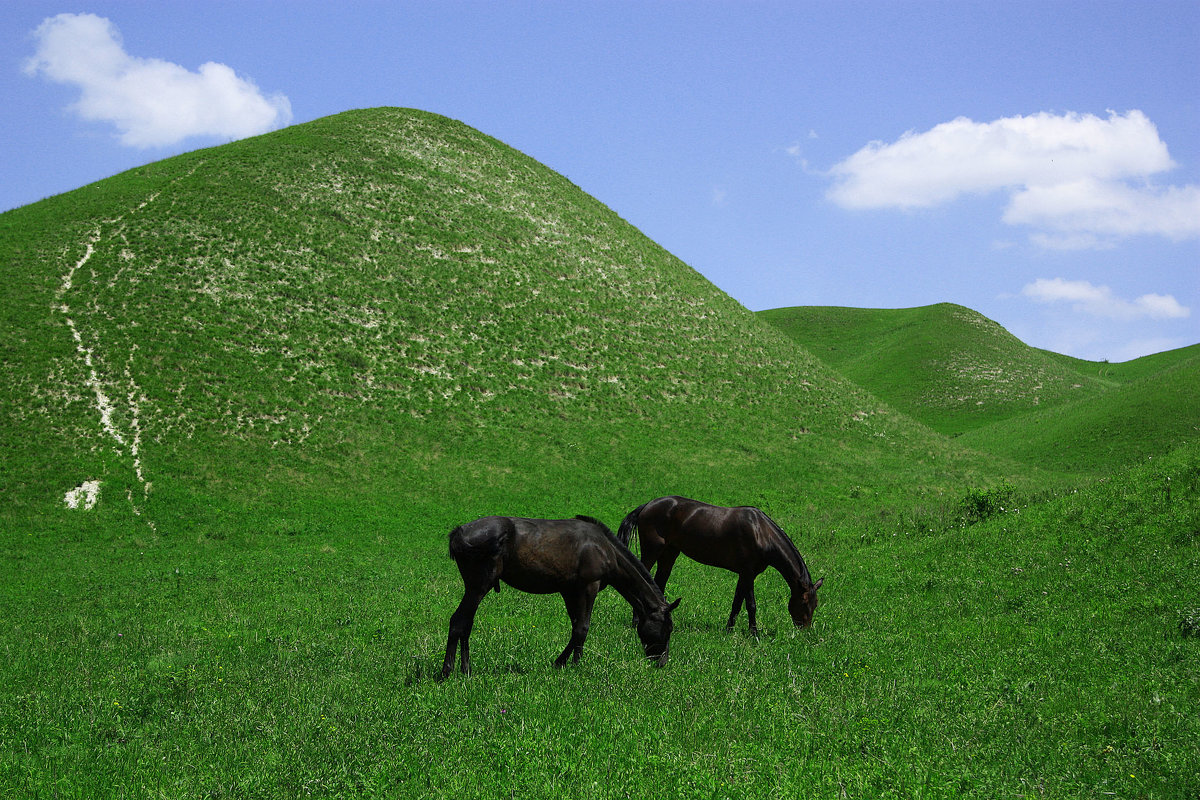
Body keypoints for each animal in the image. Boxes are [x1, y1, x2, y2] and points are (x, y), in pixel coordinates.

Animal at [444, 515, 686, 681]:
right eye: (668, 628)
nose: (661, 662)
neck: (604, 548)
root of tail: (459, 533)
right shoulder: (588, 587)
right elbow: (582, 628)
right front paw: (570, 664)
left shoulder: (570, 591)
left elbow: (576, 626)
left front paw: (568, 661)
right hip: (478, 587)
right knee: (458, 621)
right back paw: (447, 670)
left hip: (475, 589)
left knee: (466, 623)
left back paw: (465, 669)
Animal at [619, 494, 825, 638]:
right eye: (804, 602)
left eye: (815, 604)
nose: (805, 632)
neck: (761, 533)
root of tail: (647, 506)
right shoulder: (747, 573)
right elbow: (749, 604)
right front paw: (750, 633)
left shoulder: (745, 574)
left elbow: (739, 603)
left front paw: (734, 630)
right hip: (652, 551)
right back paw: (636, 621)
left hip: (669, 554)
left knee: (659, 584)